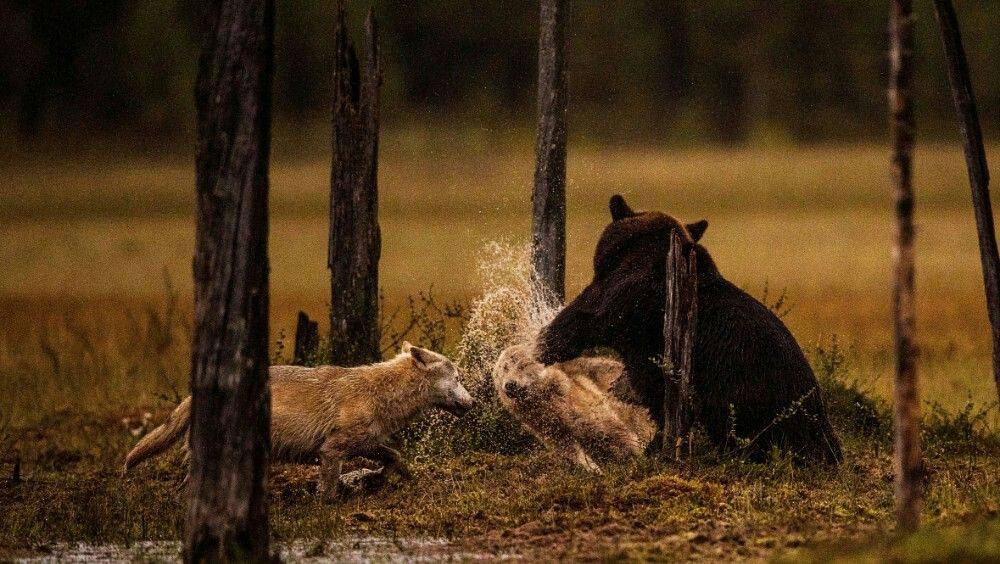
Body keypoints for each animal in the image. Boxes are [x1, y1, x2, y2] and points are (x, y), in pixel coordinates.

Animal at [123, 342, 474, 496]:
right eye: (458, 378)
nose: (473, 403)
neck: (380, 394)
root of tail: (192, 397)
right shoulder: (331, 451)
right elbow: (327, 492)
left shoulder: (366, 443)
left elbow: (395, 457)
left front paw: (405, 480)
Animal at [494, 344, 656, 472]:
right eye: (504, 368)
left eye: (522, 365)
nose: (510, 384)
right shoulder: (548, 427)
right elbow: (571, 449)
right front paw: (593, 469)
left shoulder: (582, 407)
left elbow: (614, 431)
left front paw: (636, 458)